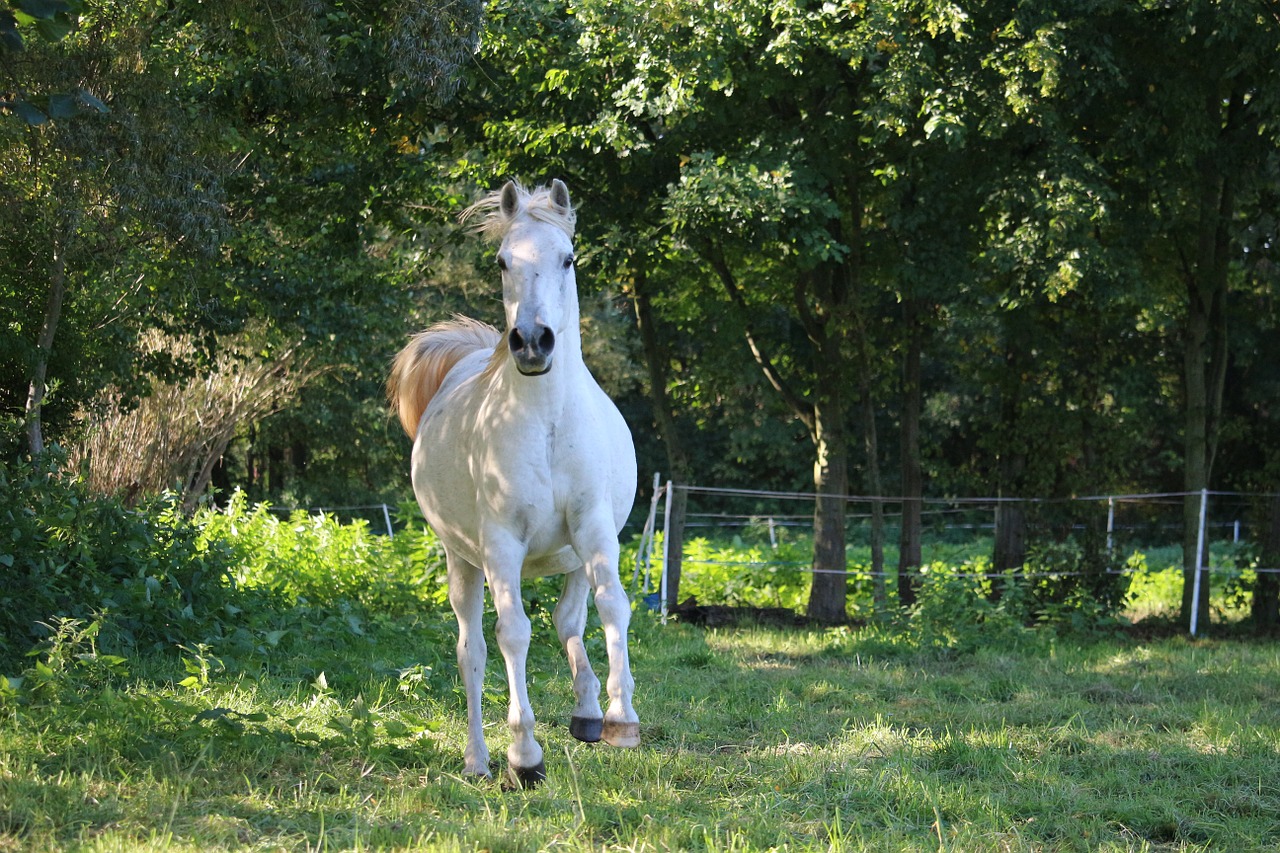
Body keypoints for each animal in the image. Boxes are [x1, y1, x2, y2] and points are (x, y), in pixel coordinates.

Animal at [381, 178, 637, 783]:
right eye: (502, 261)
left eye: (567, 258)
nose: (532, 342)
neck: (546, 423)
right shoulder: (501, 546)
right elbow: (513, 633)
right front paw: (525, 755)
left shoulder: (593, 530)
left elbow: (612, 606)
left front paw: (620, 717)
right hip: (462, 561)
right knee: (471, 651)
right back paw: (478, 759)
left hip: (569, 557)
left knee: (570, 619)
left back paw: (588, 712)